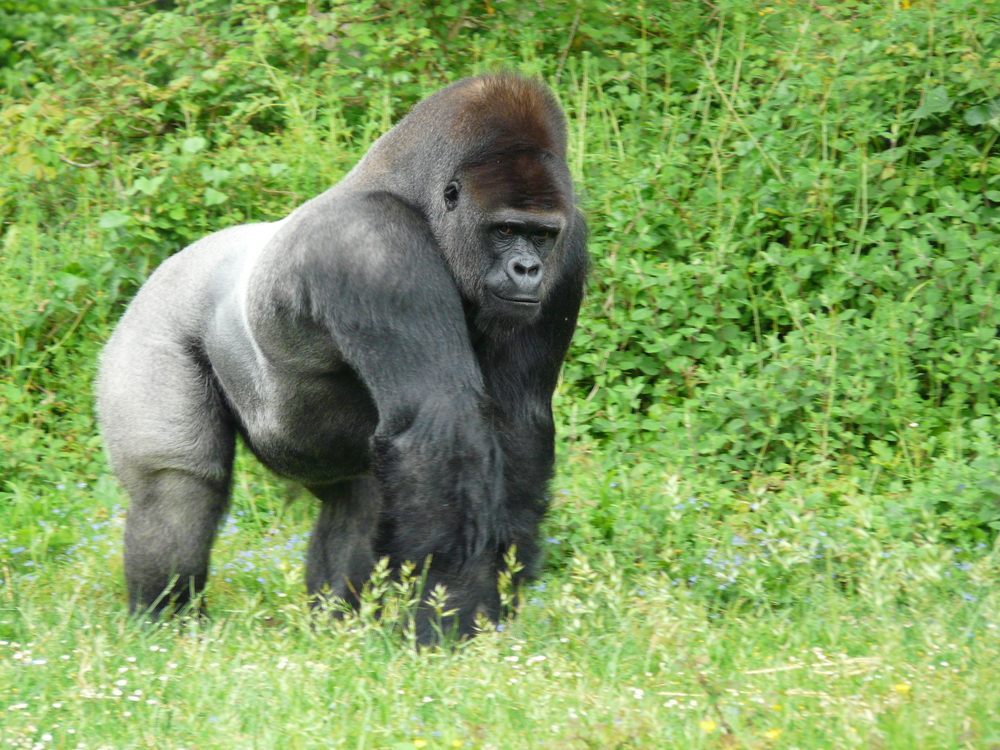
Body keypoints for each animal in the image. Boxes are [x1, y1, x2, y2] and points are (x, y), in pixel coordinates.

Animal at [95, 73, 584, 644]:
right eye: (505, 229)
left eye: (542, 234)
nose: (529, 269)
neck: (412, 193)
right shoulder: (375, 247)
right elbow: (442, 418)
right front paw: (450, 613)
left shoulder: (570, 251)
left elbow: (517, 420)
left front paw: (500, 587)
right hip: (151, 325)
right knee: (176, 487)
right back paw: (163, 621)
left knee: (358, 499)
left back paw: (334, 628)